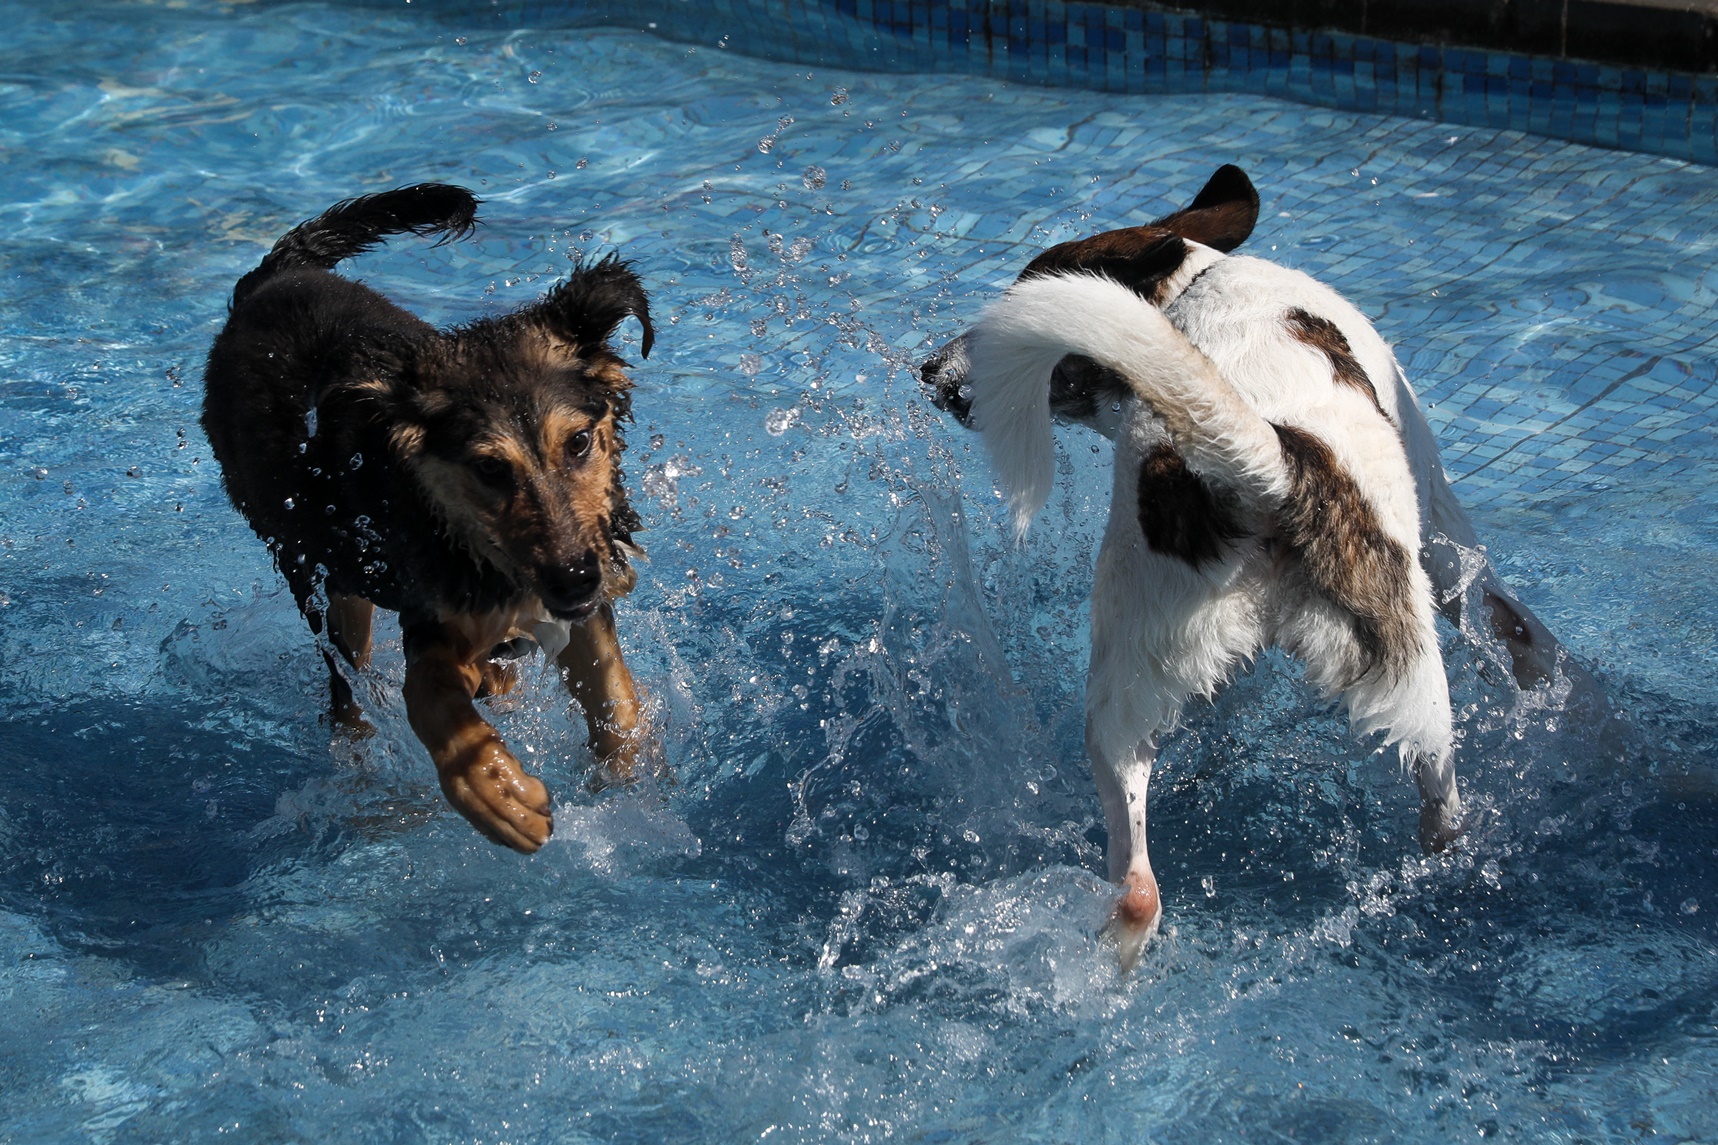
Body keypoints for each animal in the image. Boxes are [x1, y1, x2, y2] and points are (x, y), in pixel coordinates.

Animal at [202, 184, 656, 845]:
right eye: (490, 469)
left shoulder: (583, 609)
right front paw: (493, 788)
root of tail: (271, 281)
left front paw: (632, 781)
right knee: (344, 677)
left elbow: (616, 704)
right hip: (311, 562)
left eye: (578, 443)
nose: (575, 579)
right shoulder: (429, 607)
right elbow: (430, 693)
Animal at [927, 167, 1594, 962]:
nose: (929, 370)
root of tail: (1277, 467)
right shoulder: (1441, 536)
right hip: (1407, 692)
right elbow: (1521, 633)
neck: (1196, 280)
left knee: (1139, 879)